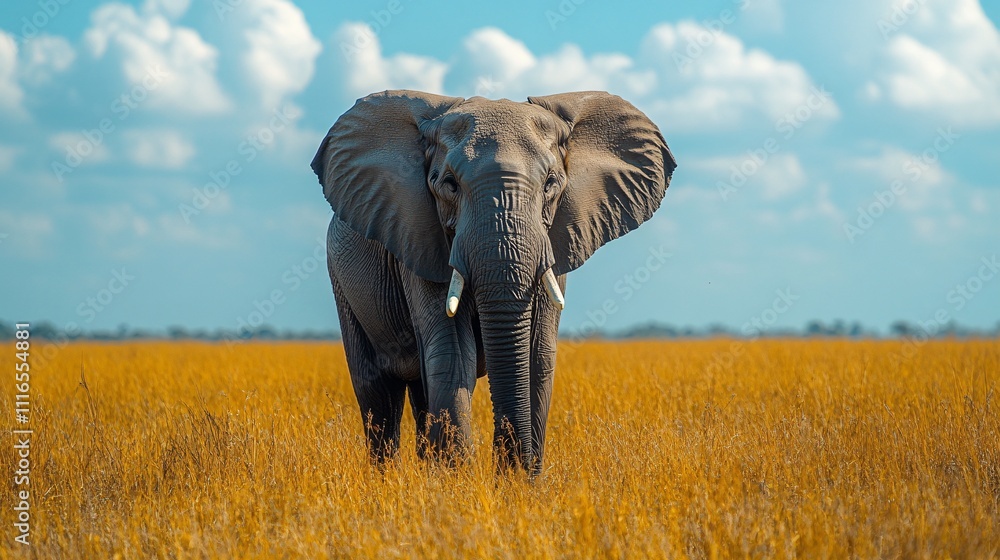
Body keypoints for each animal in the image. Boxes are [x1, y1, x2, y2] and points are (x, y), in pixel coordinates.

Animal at [311, 90, 676, 474]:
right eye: (449, 184)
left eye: (551, 184)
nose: (513, 466)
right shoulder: (422, 239)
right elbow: (455, 355)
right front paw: (459, 484)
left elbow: (536, 356)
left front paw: (516, 483)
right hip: (341, 281)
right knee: (377, 392)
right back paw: (388, 477)